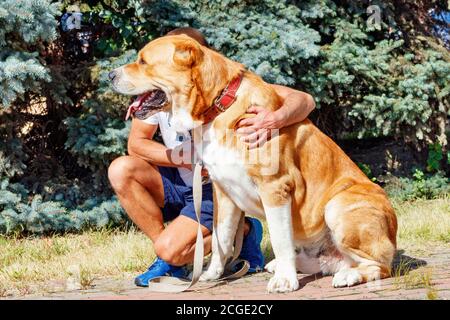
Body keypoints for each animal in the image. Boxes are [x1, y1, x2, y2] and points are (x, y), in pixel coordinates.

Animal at [111, 34, 398, 292]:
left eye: (143, 61)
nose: (110, 75)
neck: (218, 106)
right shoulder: (223, 192)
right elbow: (222, 237)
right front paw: (211, 273)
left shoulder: (275, 187)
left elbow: (280, 238)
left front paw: (285, 282)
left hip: (337, 206)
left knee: (381, 265)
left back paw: (347, 275)